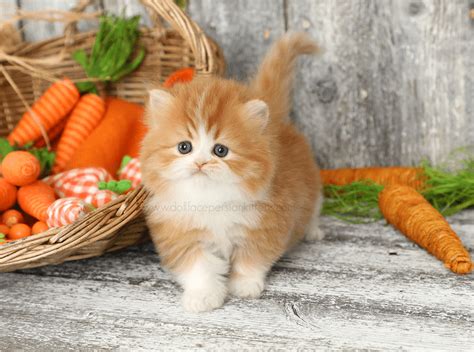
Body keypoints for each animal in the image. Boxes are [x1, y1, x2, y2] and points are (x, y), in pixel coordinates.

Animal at [141, 31, 324, 310]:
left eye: (220, 150)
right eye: (184, 147)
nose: (201, 163)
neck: (210, 199)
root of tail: (275, 120)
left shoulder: (266, 222)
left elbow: (253, 258)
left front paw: (244, 285)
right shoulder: (181, 232)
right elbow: (198, 267)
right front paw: (203, 296)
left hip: (311, 185)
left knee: (313, 207)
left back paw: (313, 231)